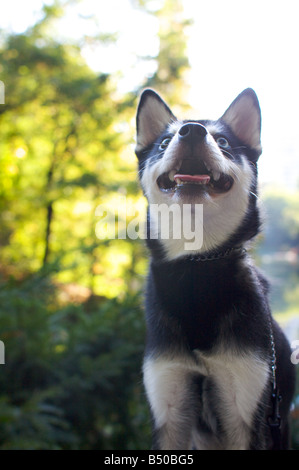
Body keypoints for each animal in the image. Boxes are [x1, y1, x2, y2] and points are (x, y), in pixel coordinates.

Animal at [136, 89, 298, 452]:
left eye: (222, 140)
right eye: (164, 142)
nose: (192, 132)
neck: (197, 269)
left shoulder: (247, 415)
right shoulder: (169, 408)